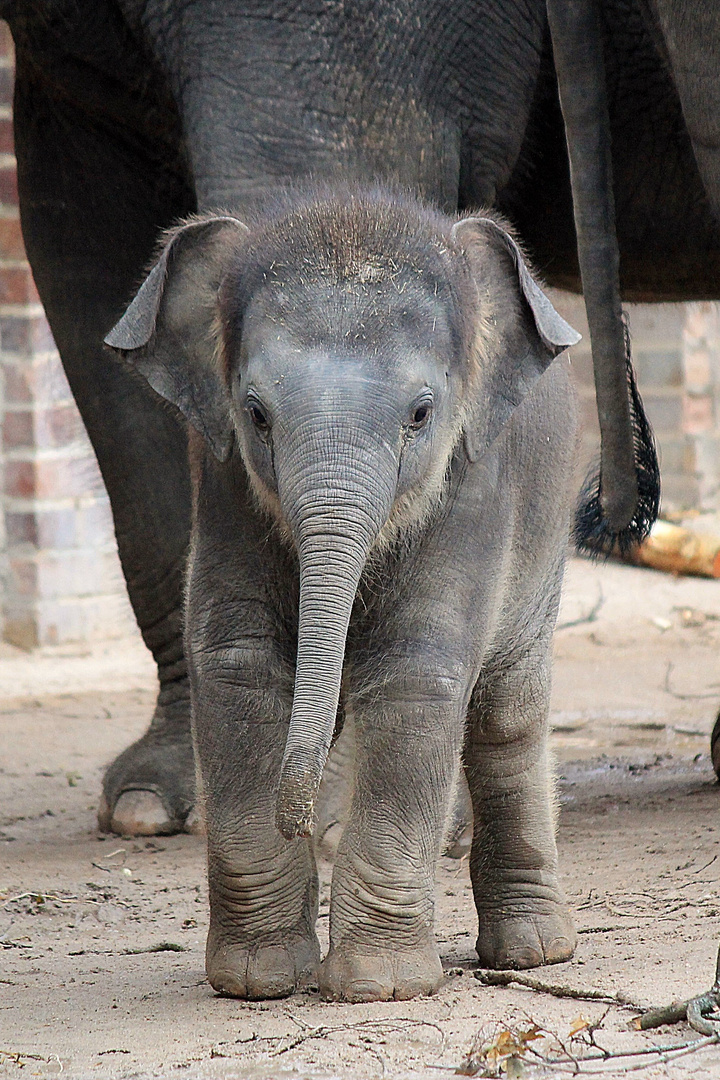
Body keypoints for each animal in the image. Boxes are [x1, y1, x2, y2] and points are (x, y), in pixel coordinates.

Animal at [2, 0, 716, 833]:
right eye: (253, 414)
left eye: (422, 414)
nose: (301, 816)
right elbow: (82, 251)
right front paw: (152, 805)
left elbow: (321, 162)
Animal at [105, 187, 578, 1002]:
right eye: (255, 413)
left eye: (420, 414)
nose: (300, 823)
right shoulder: (223, 483)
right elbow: (239, 664)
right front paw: (258, 980)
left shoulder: (475, 485)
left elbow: (417, 673)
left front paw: (379, 986)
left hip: (546, 542)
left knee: (505, 716)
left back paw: (533, 953)